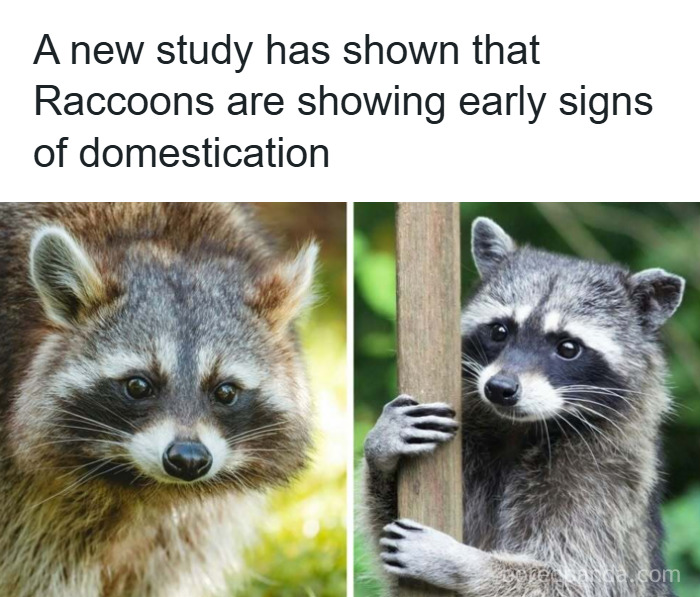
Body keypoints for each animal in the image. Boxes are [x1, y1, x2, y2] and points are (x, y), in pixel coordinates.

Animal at [363, 217, 684, 597]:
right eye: (500, 330)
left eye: (568, 347)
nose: (500, 389)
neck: (521, 427)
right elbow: (384, 538)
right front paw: (381, 449)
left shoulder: (608, 485)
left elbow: (578, 581)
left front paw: (464, 562)